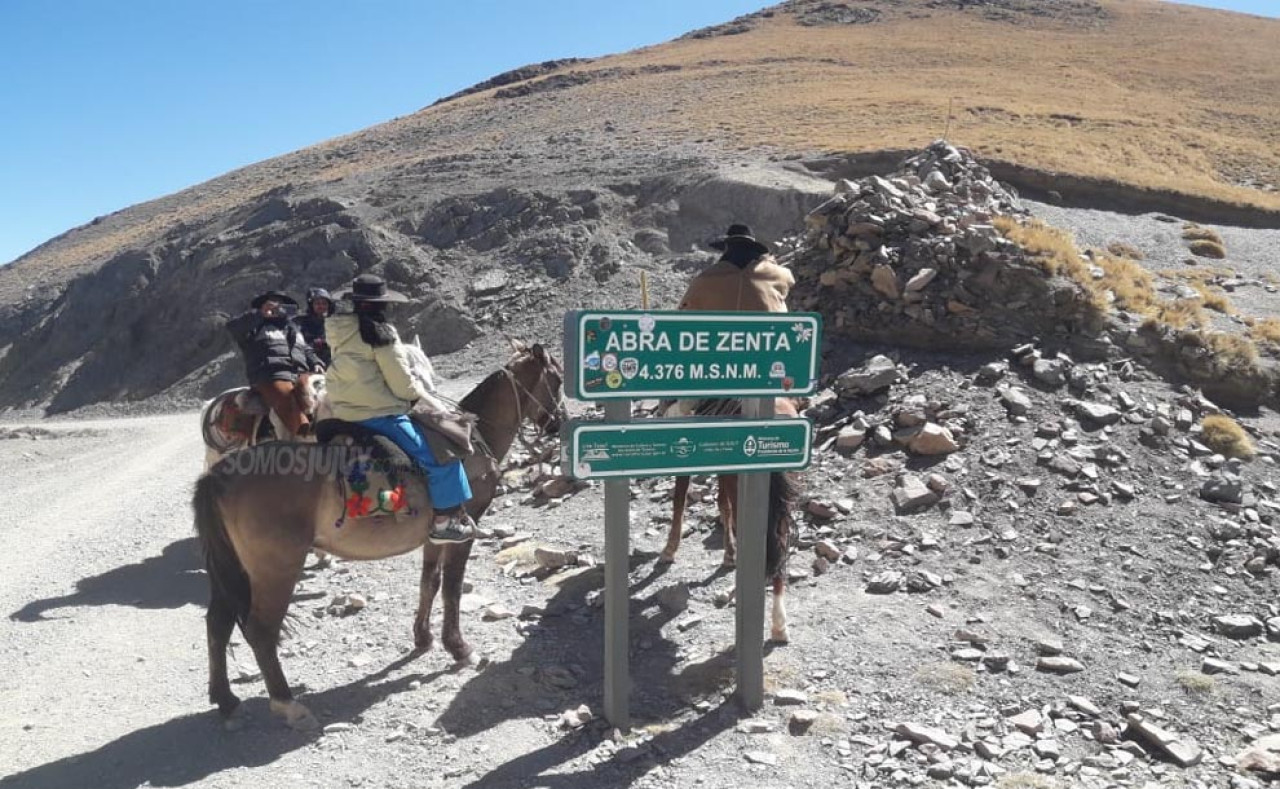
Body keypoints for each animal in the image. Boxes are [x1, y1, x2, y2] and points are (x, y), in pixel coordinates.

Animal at [192, 343, 563, 732]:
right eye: (557, 378)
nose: (558, 423)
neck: (474, 440)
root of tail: (217, 478)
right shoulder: (465, 529)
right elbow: (451, 588)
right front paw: (460, 648)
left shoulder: (436, 535)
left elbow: (429, 582)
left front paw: (423, 639)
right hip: (276, 570)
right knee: (261, 631)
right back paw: (288, 705)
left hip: (234, 568)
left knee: (217, 623)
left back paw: (226, 701)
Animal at [660, 397, 798, 642]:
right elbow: (723, 506)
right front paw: (729, 555)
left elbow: (680, 501)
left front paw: (669, 550)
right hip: (781, 505)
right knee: (778, 551)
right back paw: (779, 625)